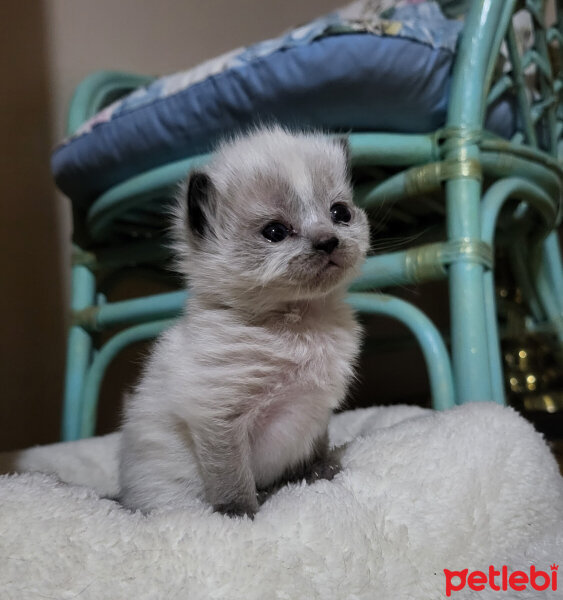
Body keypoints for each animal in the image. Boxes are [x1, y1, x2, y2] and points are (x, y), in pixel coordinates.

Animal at [119, 125, 372, 516]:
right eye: (275, 232)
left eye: (339, 213)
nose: (328, 242)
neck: (300, 321)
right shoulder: (220, 417)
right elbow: (231, 476)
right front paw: (238, 514)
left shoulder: (315, 410)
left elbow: (315, 446)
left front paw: (317, 474)